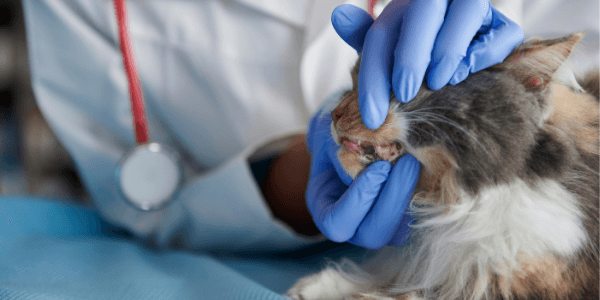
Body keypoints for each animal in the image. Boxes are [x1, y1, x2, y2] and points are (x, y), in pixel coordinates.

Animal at [288, 32, 596, 300]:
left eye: (395, 87)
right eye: (354, 82)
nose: (333, 114)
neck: (454, 202)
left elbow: (403, 294)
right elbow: (400, 275)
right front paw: (316, 286)